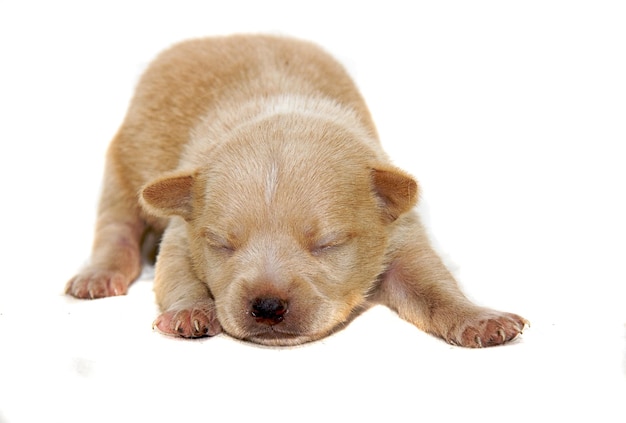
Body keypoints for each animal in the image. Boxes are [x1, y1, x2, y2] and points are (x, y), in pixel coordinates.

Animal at [66, 34, 528, 348]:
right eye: (222, 245)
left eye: (327, 244)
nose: (267, 307)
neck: (282, 107)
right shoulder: (184, 228)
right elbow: (176, 271)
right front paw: (190, 310)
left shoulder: (402, 237)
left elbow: (433, 285)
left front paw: (479, 318)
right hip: (123, 166)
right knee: (116, 226)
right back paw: (99, 275)